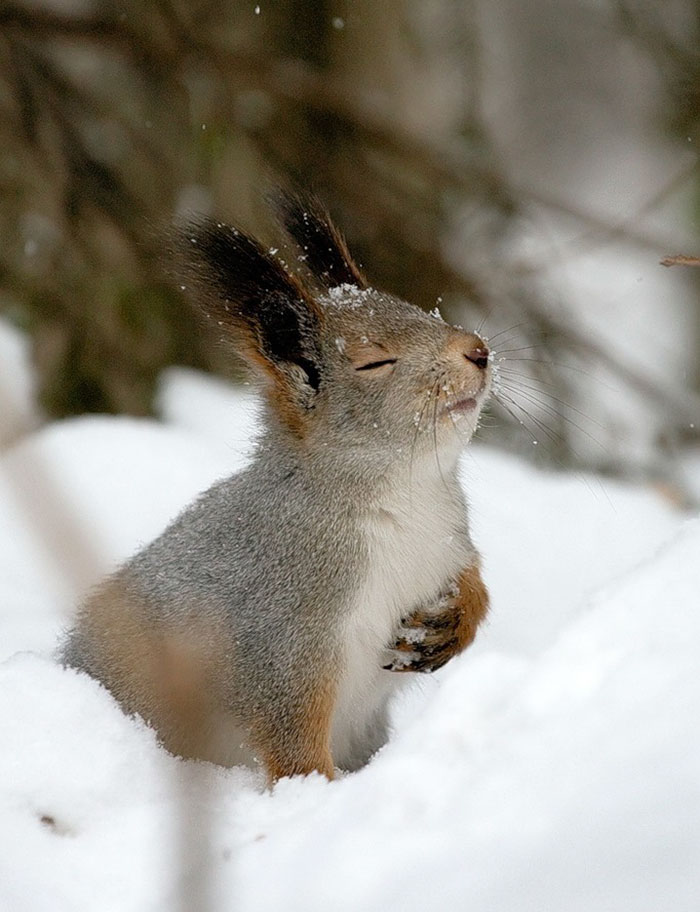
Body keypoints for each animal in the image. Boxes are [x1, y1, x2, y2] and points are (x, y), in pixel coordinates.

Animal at [61, 192, 492, 784]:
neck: (406, 496)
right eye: (374, 361)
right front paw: (315, 791)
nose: (479, 349)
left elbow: (474, 583)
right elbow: (290, 735)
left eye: (422, 310)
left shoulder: (448, 542)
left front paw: (454, 621)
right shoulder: (282, 631)